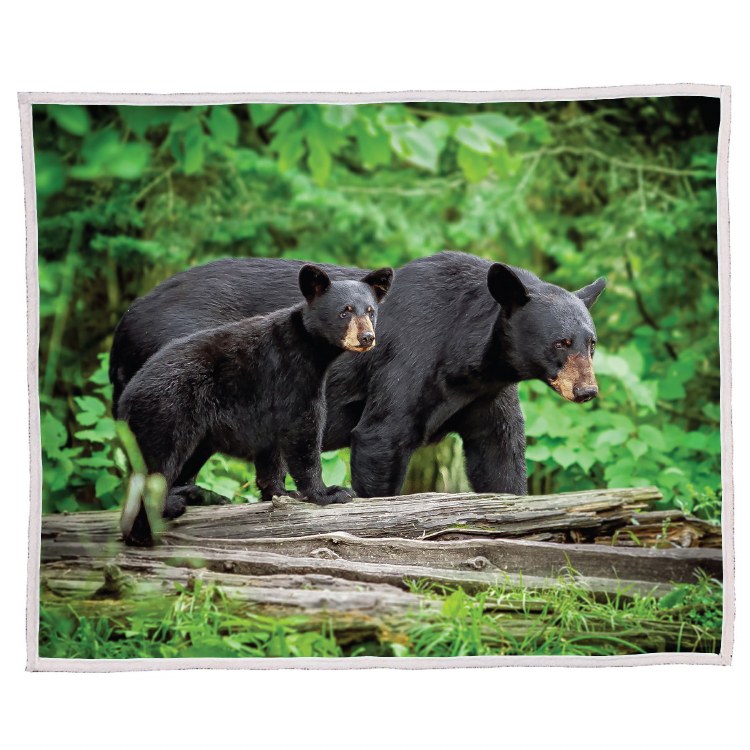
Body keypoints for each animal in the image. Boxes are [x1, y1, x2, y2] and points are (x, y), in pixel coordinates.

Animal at [111, 251, 604, 500]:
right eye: (561, 342)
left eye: (591, 342)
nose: (587, 390)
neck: (467, 355)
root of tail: (123, 323)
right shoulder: (411, 359)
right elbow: (381, 438)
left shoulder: (486, 391)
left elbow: (499, 455)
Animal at [117, 263, 393, 542]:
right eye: (345, 311)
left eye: (371, 311)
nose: (367, 337)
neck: (309, 348)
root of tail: (126, 396)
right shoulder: (290, 375)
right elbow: (304, 432)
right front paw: (329, 492)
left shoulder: (270, 401)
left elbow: (272, 448)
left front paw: (281, 493)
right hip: (166, 412)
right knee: (155, 469)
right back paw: (146, 531)